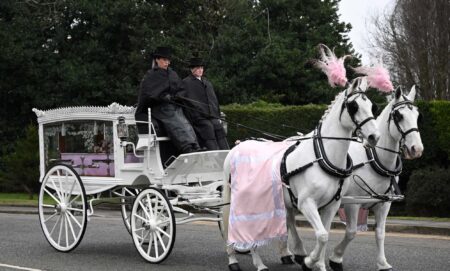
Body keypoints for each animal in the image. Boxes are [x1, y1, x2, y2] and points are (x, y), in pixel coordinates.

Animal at [221, 77, 380, 271]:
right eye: (353, 106)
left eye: (372, 106)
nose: (374, 137)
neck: (322, 157)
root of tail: (236, 147)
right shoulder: (307, 203)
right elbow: (322, 236)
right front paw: (308, 261)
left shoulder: (331, 206)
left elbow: (325, 234)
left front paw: (318, 265)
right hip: (246, 200)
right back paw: (246, 262)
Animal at [328, 86, 424, 271]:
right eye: (399, 116)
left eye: (417, 116)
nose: (416, 149)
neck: (373, 159)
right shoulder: (353, 203)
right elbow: (351, 232)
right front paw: (335, 258)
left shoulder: (384, 203)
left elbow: (380, 233)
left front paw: (382, 263)